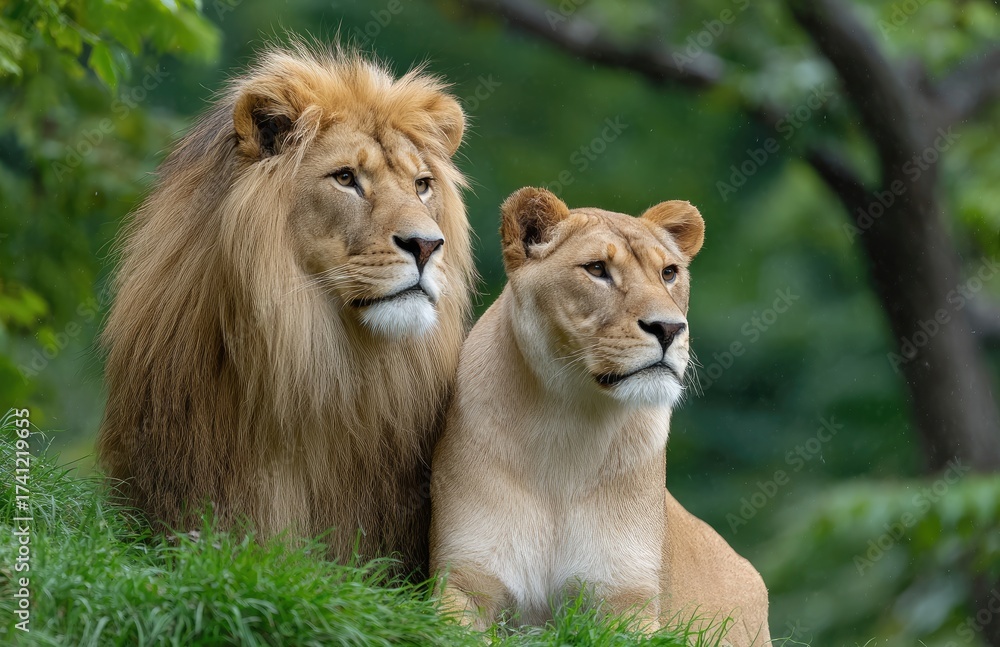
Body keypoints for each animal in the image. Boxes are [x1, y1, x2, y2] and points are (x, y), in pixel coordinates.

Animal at [429, 187, 770, 645]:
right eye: (596, 269)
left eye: (669, 273)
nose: (669, 329)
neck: (569, 421)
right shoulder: (464, 581)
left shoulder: (628, 599)